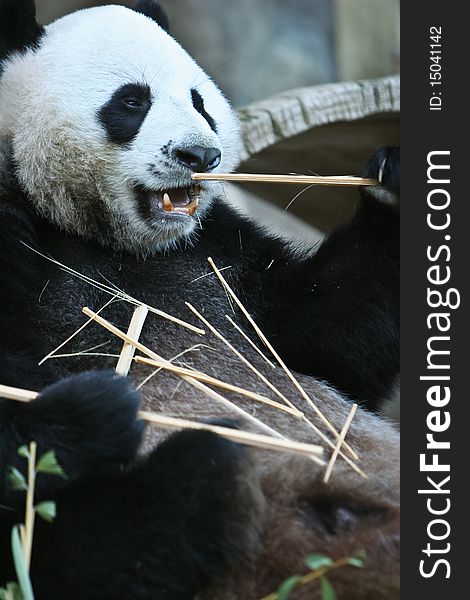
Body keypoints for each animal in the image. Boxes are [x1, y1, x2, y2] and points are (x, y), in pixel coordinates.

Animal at [0, 1, 400, 600]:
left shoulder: (217, 252)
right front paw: (99, 410)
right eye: (131, 101)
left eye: (199, 101)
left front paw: (394, 177)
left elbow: (324, 340)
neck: (108, 240)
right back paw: (208, 473)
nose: (200, 154)